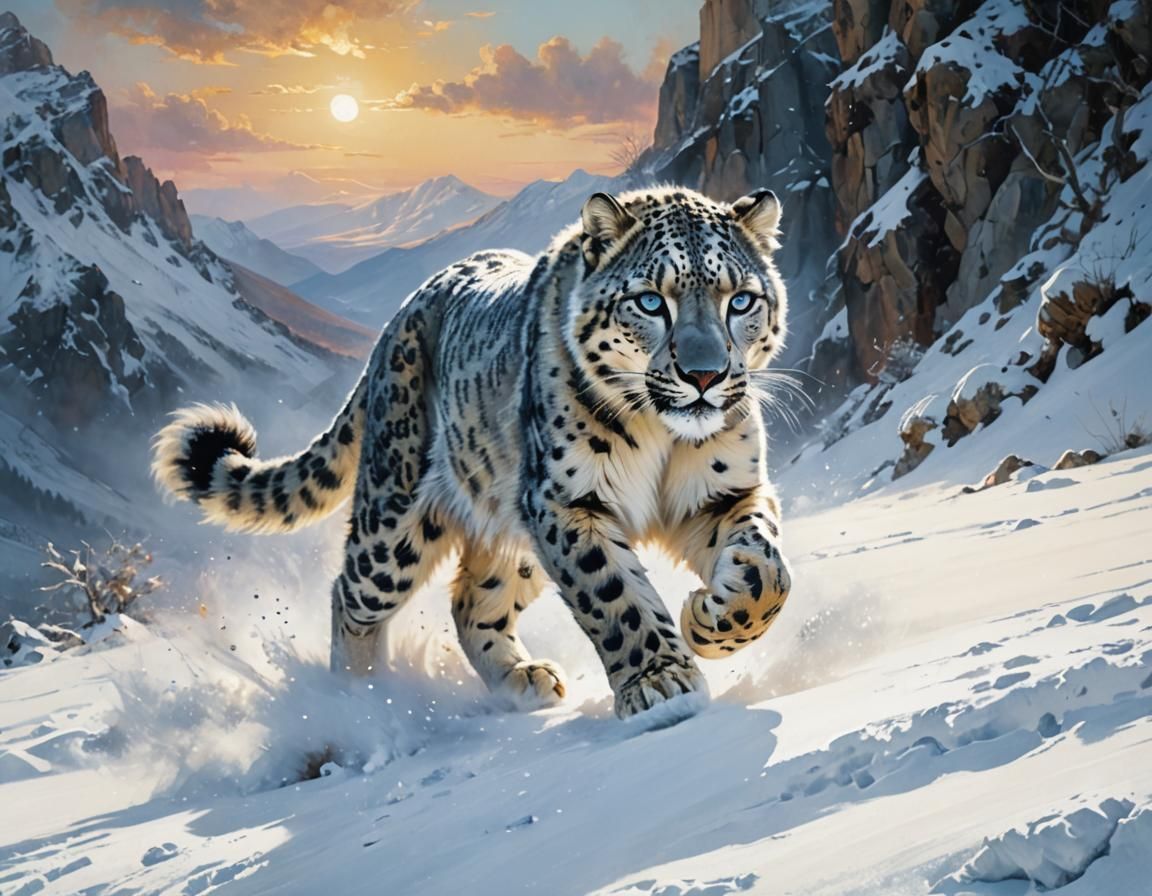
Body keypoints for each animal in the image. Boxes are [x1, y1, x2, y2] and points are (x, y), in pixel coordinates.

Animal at [152, 185, 794, 719]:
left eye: (740, 301)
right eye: (651, 302)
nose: (705, 376)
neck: (664, 439)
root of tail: (397, 321)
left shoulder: (725, 490)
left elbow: (767, 569)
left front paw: (710, 620)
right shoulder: (567, 501)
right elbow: (613, 595)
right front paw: (661, 683)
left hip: (508, 530)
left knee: (472, 602)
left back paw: (522, 678)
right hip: (394, 521)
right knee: (351, 595)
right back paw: (359, 704)